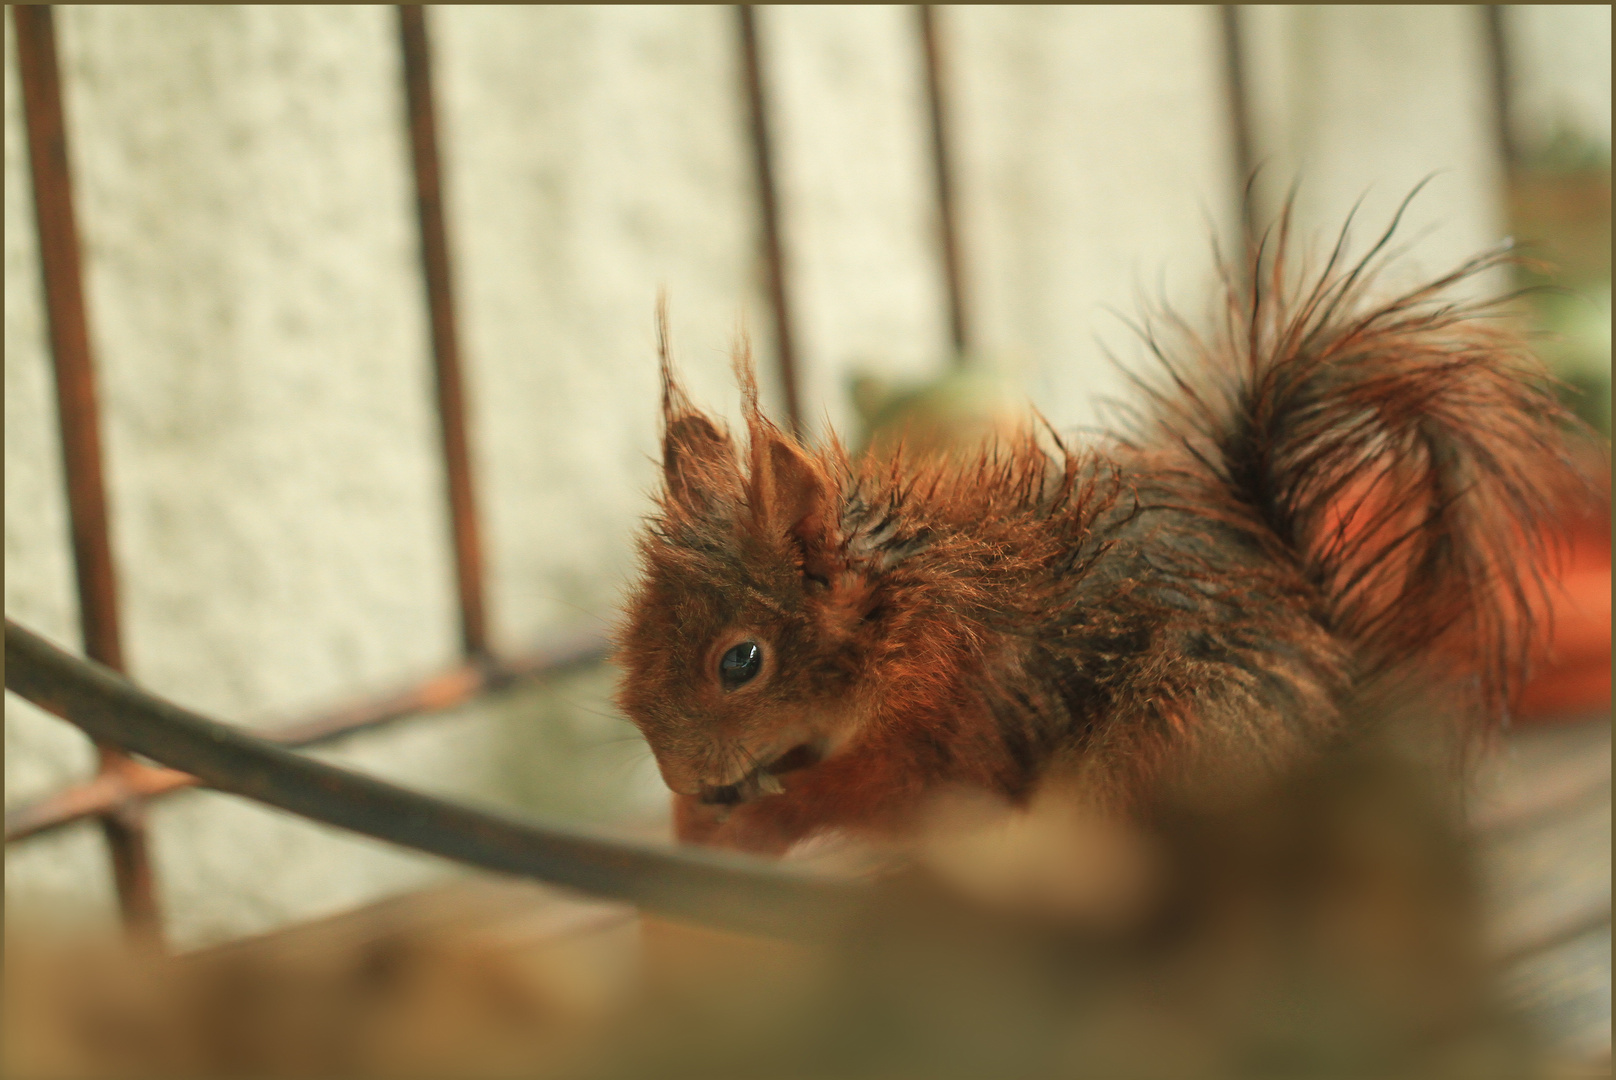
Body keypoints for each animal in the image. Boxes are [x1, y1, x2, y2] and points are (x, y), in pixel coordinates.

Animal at [617, 208, 1590, 853]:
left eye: (741, 662)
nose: (675, 778)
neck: (907, 615)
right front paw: (688, 819)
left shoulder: (949, 722)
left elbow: (872, 798)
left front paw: (757, 820)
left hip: (1176, 745)